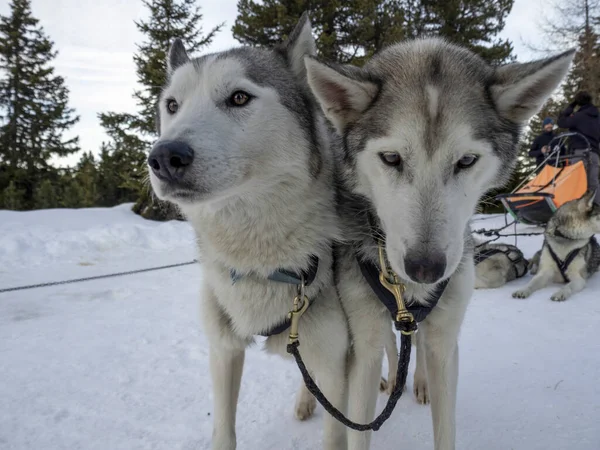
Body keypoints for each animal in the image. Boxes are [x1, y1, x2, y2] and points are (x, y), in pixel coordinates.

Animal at [146, 14, 352, 450]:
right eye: (172, 105)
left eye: (239, 98)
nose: (164, 157)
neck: (260, 261)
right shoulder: (223, 352)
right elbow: (224, 431)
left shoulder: (336, 363)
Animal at [304, 40, 572, 448]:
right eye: (391, 158)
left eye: (466, 160)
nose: (425, 268)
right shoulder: (364, 340)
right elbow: (359, 414)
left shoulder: (445, 340)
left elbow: (444, 423)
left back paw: (417, 380)